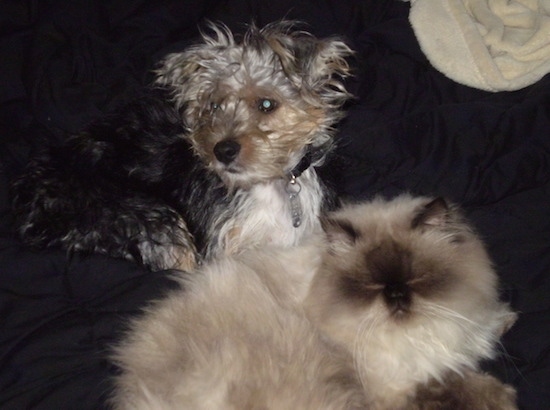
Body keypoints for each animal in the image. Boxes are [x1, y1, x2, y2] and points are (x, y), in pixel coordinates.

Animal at [304, 195, 520, 410]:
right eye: (372, 284)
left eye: (416, 277)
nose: (396, 293)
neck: (414, 335)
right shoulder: (399, 389)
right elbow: (458, 386)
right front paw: (505, 398)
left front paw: (506, 319)